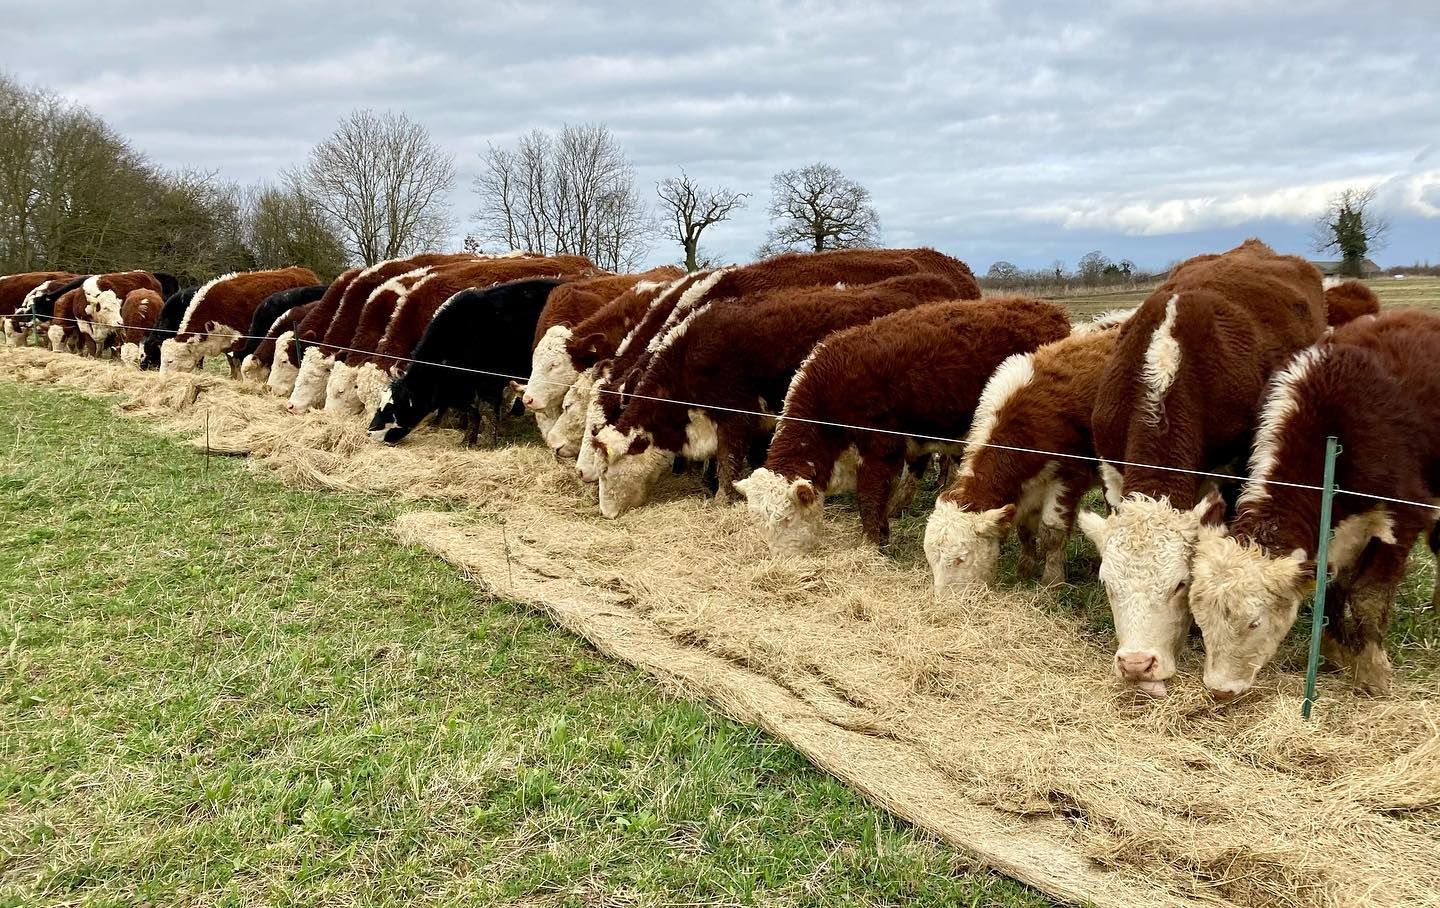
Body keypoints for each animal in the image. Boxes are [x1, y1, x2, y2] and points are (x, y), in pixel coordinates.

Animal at [160, 267, 320, 376]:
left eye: (170, 361)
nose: (162, 379)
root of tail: (304, 271)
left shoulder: (240, 341)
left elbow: (238, 363)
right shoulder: (228, 347)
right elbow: (233, 363)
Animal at [368, 279, 566, 446]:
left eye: (392, 409)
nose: (369, 431)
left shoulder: (490, 381)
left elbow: (487, 411)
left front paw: (489, 443)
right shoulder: (466, 388)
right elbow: (473, 413)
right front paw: (467, 441)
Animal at [734, 296, 1070, 551]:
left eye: (786, 519)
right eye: (759, 522)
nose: (781, 557)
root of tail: (1048, 309)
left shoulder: (880, 448)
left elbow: (870, 496)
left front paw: (873, 542)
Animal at [924, 312, 1131, 595]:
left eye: (961, 558)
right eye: (930, 556)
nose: (945, 600)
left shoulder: (1067, 479)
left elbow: (1052, 533)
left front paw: (1052, 581)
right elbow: (1024, 531)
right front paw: (1024, 570)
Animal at [1189, 309, 1440, 700]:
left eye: (1254, 622)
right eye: (1199, 618)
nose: (1220, 689)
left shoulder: (1405, 515)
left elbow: (1368, 595)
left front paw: (1372, 672)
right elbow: (1332, 587)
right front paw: (1337, 654)